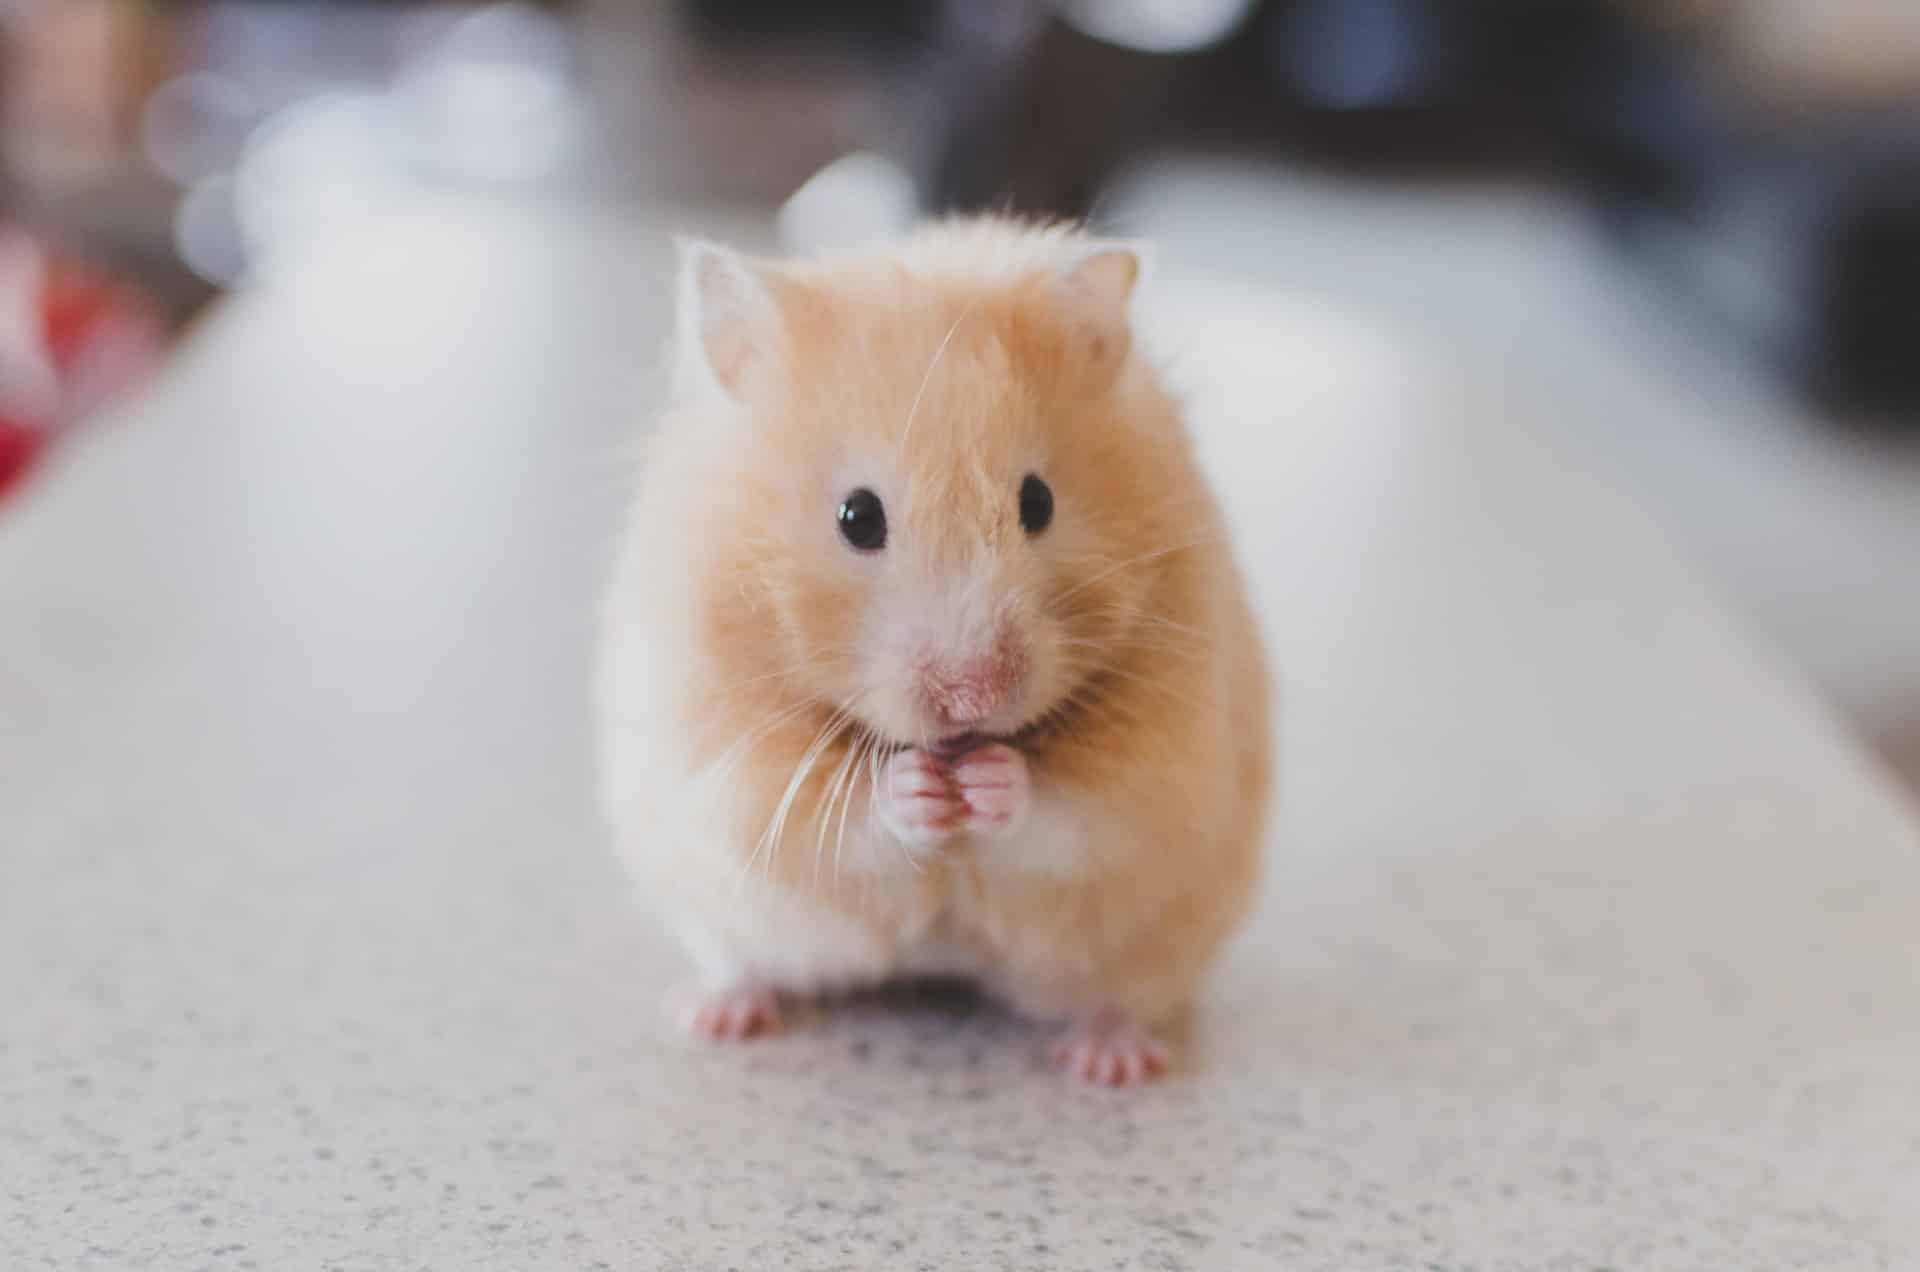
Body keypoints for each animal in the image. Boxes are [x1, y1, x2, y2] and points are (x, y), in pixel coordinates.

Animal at [591, 217, 1267, 1083]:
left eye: (1038, 501)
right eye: (857, 517)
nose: (974, 698)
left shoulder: (1163, 764)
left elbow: (1074, 811)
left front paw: (990, 781)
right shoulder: (726, 756)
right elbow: (838, 820)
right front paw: (918, 788)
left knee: (1120, 997)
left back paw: (1110, 1063)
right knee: (743, 962)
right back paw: (714, 1015)